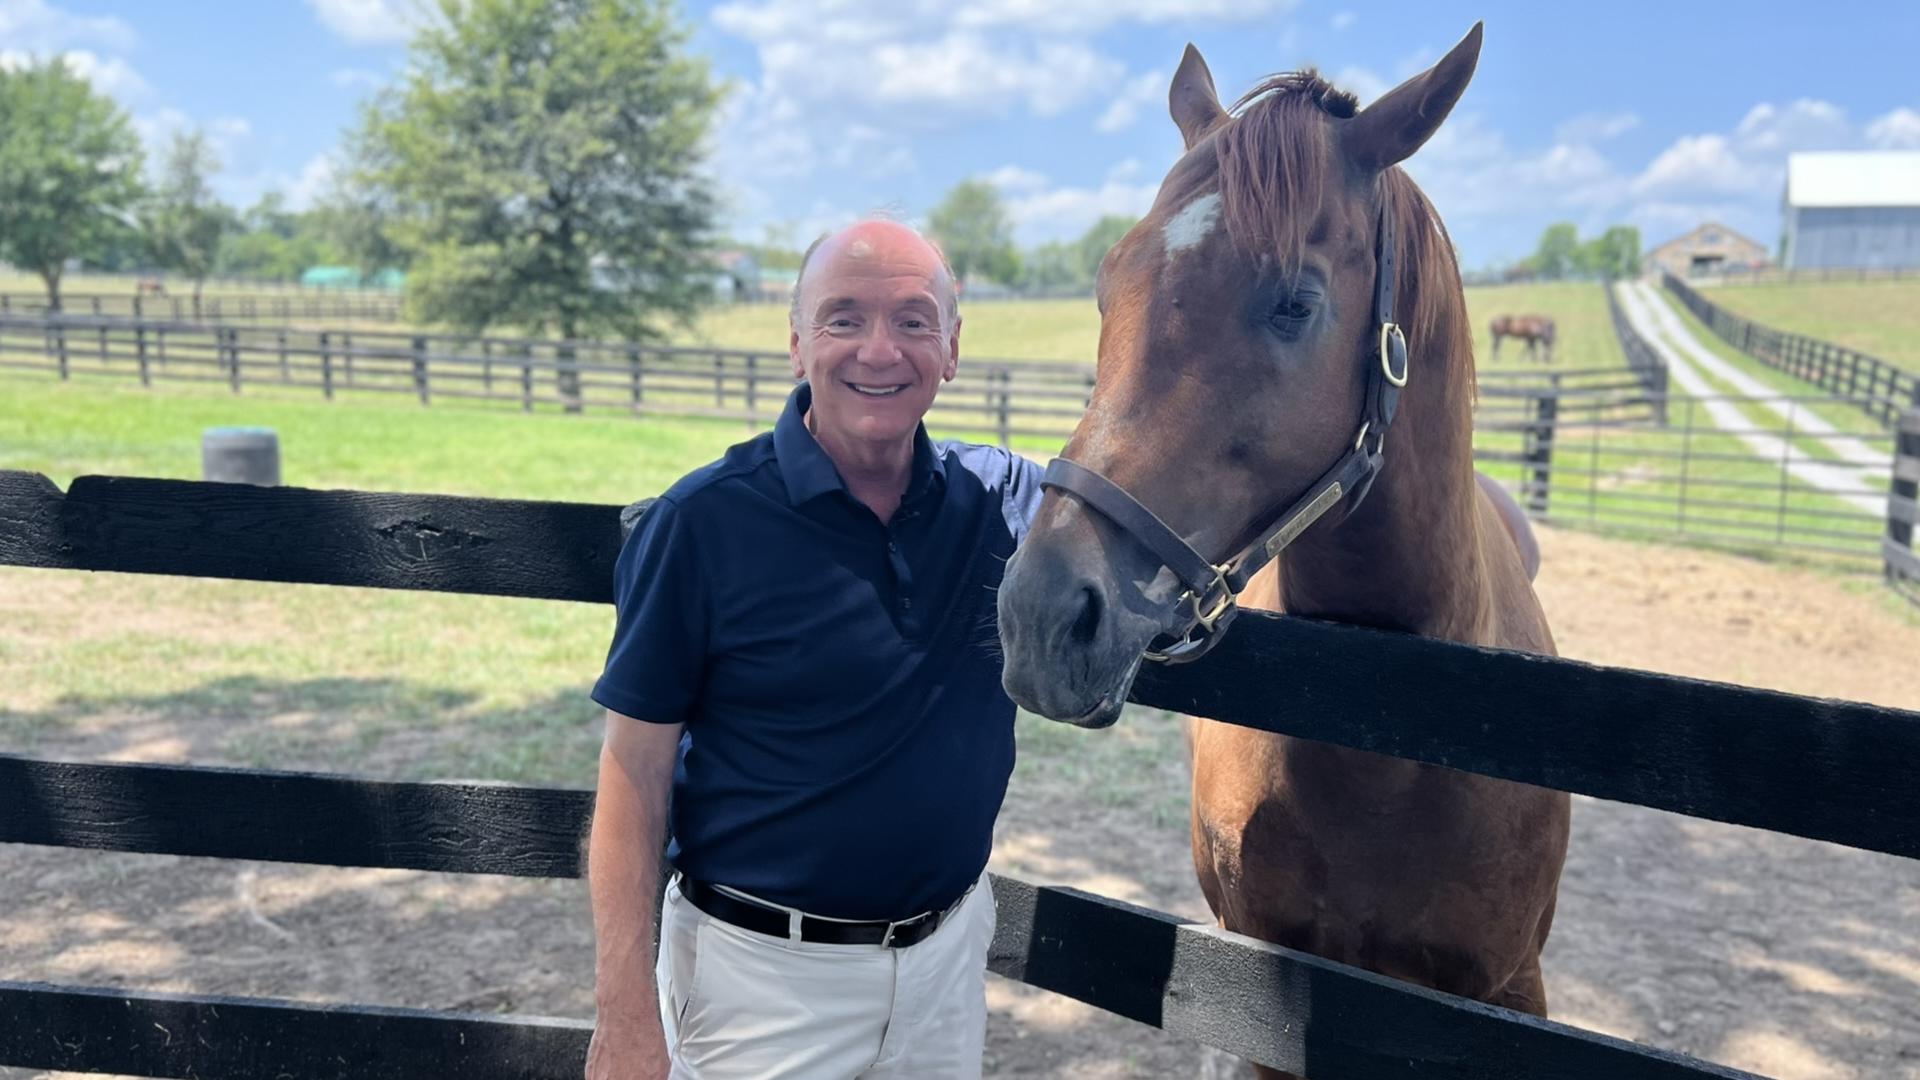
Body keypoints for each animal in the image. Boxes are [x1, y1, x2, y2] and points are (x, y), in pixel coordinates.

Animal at [998, 25, 1566, 1076]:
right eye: (1108, 286)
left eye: (1294, 303)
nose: (1042, 616)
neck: (1399, 734)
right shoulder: (1256, 1001)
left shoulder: (1506, 996)